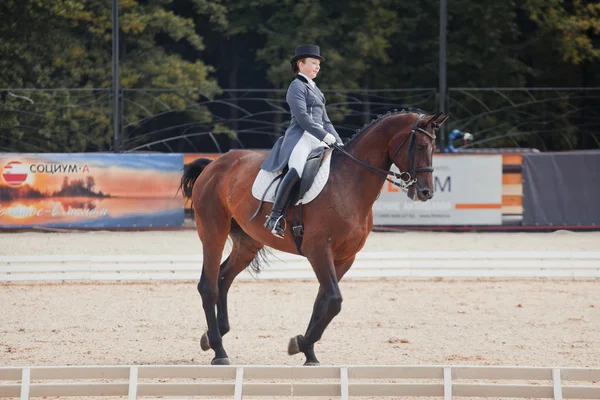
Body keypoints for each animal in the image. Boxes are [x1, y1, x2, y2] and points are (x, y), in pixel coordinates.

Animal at [178, 108, 450, 366]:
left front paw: (306, 349)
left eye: (434, 148)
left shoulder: (345, 258)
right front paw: (301, 343)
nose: (426, 192)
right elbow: (334, 299)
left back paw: (211, 337)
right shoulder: (318, 250)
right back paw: (219, 351)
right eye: (421, 146)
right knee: (209, 286)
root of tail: (214, 164)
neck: (349, 183)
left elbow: (323, 302)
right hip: (213, 230)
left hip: (247, 243)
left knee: (223, 278)